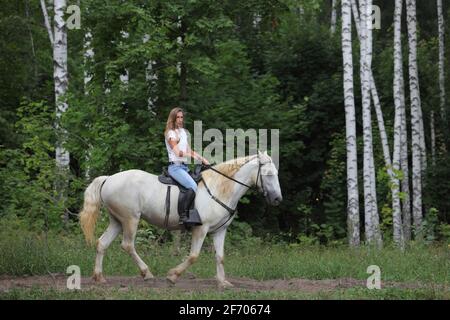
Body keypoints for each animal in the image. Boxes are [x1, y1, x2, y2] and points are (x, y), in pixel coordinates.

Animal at [78, 150, 282, 288]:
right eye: (268, 175)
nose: (277, 199)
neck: (220, 187)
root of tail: (108, 179)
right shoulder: (201, 229)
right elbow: (193, 256)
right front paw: (173, 276)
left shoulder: (219, 231)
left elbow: (220, 257)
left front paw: (223, 282)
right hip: (130, 219)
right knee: (127, 245)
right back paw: (146, 273)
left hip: (117, 221)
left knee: (102, 243)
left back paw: (99, 277)